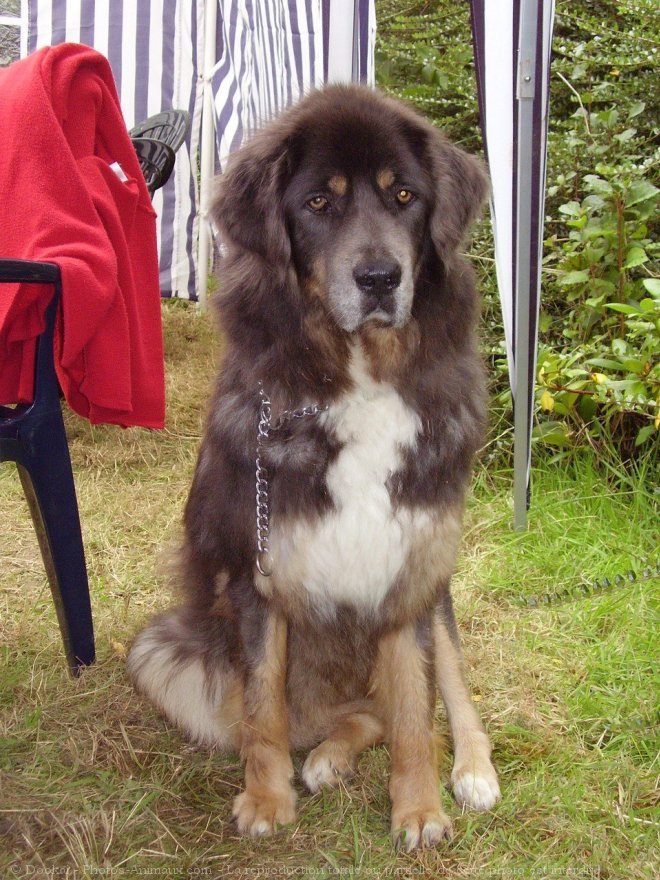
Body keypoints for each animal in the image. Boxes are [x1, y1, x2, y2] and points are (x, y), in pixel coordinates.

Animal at [127, 86, 500, 848]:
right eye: (319, 203)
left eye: (405, 196)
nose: (380, 278)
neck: (357, 378)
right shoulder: (255, 578)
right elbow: (263, 707)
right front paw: (267, 800)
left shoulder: (409, 575)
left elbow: (417, 710)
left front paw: (419, 810)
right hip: (157, 653)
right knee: (323, 716)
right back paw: (325, 754)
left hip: (439, 581)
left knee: (440, 691)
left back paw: (469, 768)